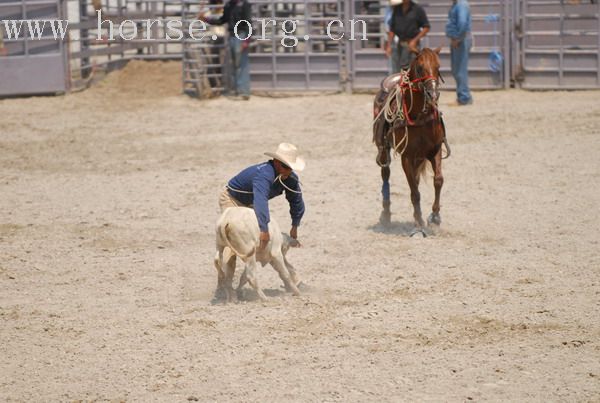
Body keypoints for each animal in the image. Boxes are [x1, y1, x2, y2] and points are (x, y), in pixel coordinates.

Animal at [372, 47, 448, 237]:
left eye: (438, 66)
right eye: (420, 68)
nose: (433, 94)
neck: (419, 116)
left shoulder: (434, 150)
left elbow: (438, 180)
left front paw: (435, 218)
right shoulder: (406, 156)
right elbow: (415, 192)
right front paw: (419, 224)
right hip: (383, 150)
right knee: (386, 175)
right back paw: (385, 215)